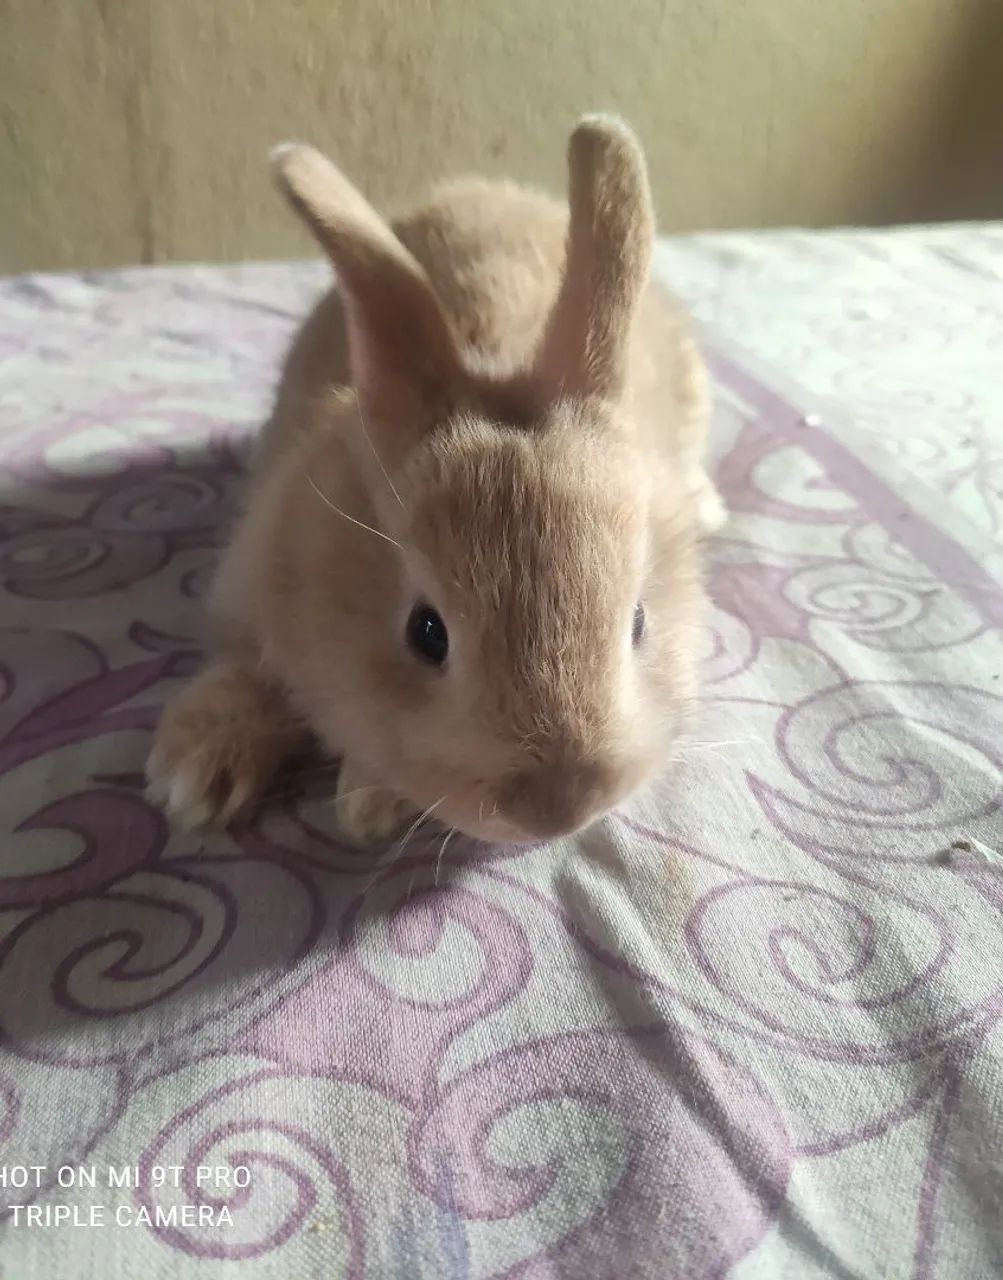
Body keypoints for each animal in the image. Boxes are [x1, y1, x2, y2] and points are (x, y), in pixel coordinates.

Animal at [146, 114, 724, 846]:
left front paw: (369, 798)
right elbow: (243, 672)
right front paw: (193, 778)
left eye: (639, 622)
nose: (559, 808)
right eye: (427, 633)